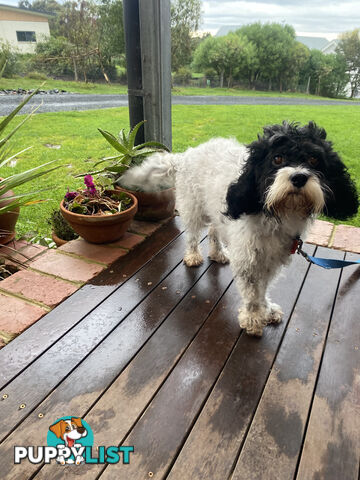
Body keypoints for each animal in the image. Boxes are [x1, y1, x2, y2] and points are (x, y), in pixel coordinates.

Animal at [121, 122, 358, 336]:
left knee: (214, 231)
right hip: (194, 208)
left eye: (314, 159)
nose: (299, 177)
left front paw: (267, 309)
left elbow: (263, 288)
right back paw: (193, 255)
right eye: (277, 159)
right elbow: (252, 293)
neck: (276, 213)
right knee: (192, 235)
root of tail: (187, 155)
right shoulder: (248, 259)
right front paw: (253, 318)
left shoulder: (271, 259)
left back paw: (217, 253)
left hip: (216, 211)